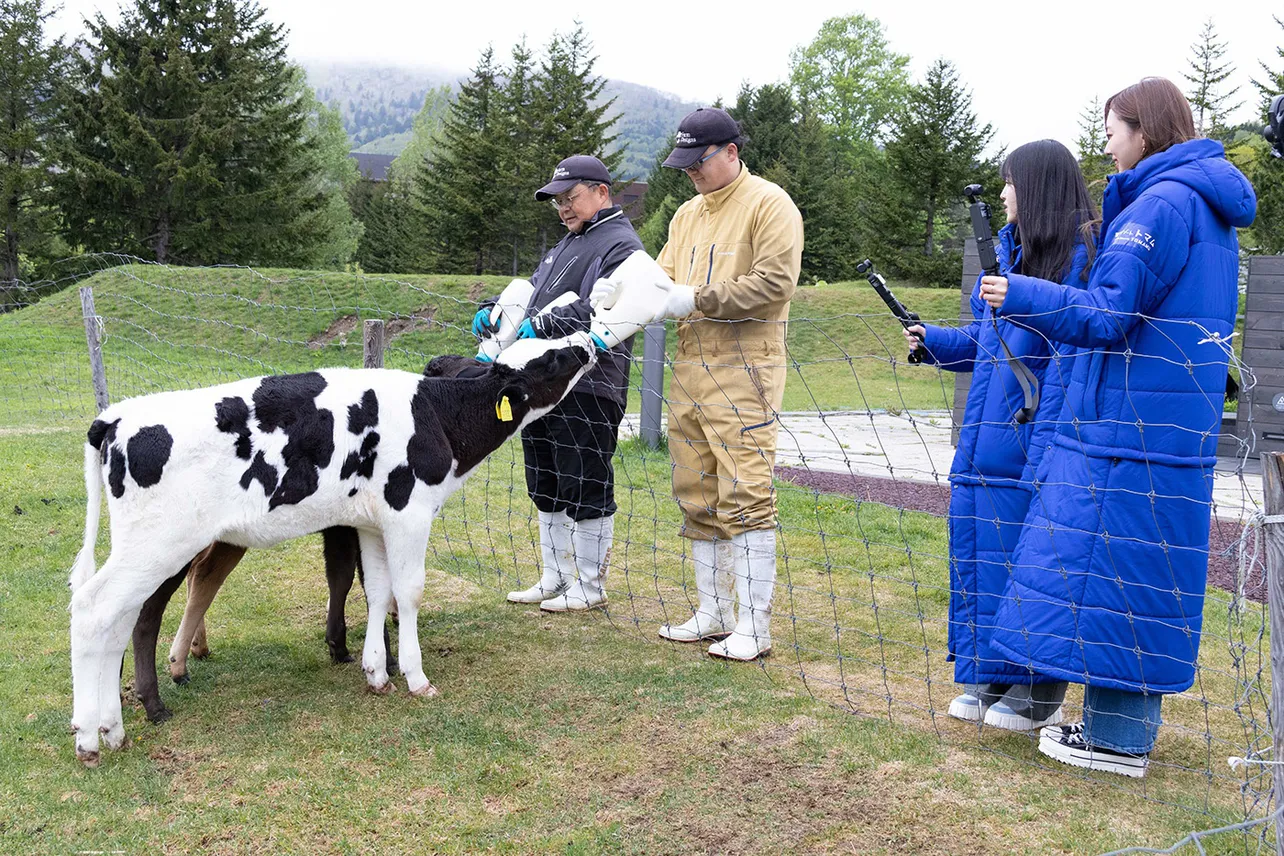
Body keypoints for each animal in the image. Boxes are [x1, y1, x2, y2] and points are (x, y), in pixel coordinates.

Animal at [67, 333, 593, 764]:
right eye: (550, 358)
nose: (587, 342)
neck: (436, 415)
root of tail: (116, 416)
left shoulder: (372, 523)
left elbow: (378, 590)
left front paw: (376, 672)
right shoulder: (409, 511)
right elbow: (409, 592)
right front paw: (415, 678)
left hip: (145, 549)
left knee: (119, 620)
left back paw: (113, 729)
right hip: (158, 546)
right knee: (95, 610)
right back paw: (91, 738)